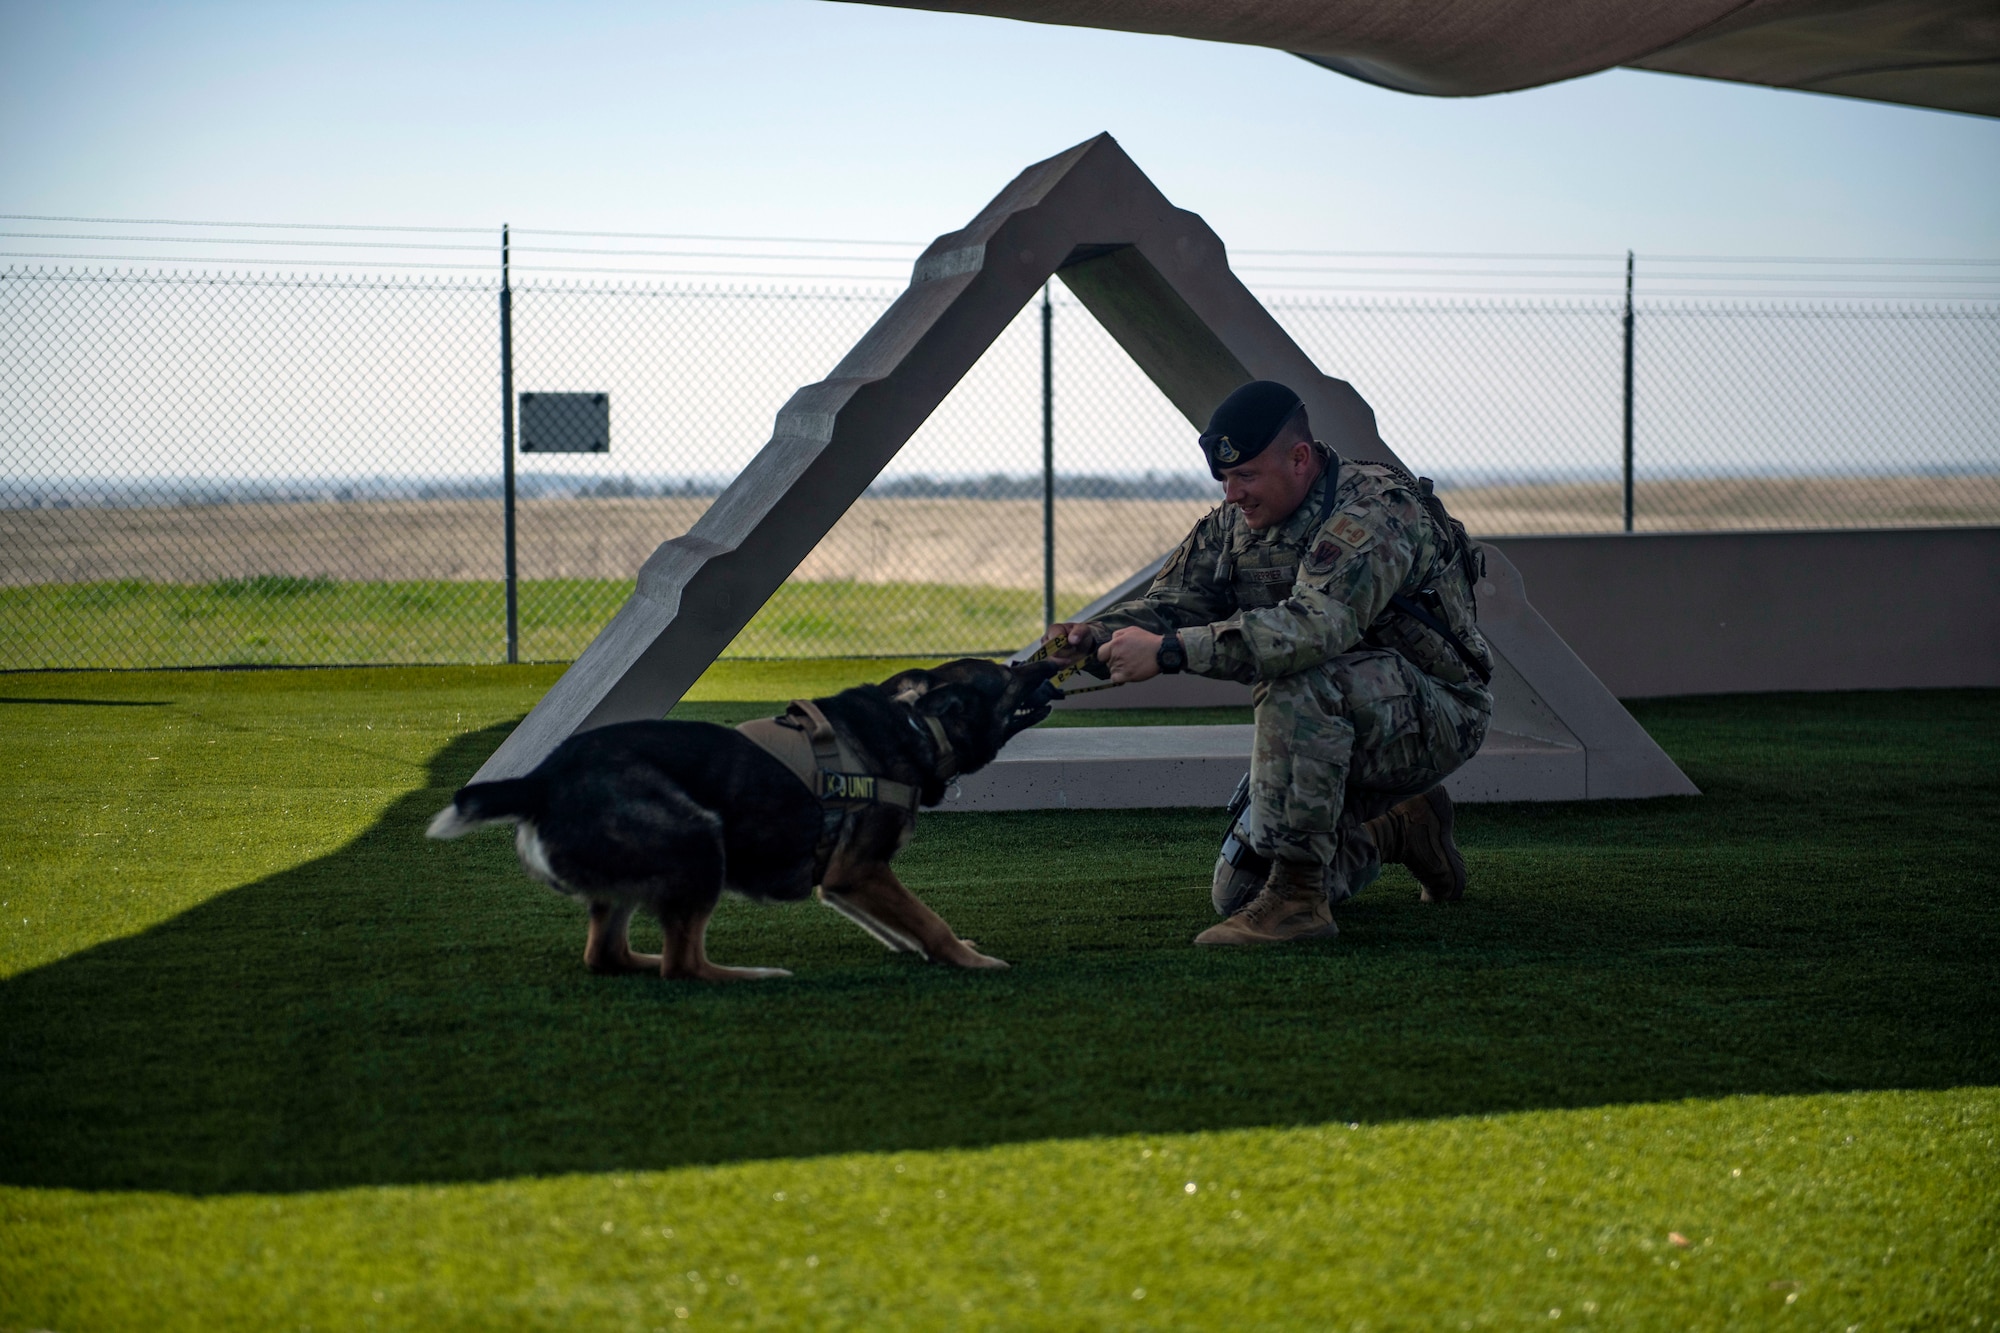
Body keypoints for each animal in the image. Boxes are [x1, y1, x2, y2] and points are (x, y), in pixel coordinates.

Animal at [432, 656, 1072, 976]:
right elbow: (929, 922)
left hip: (638, 876)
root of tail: (542, 780)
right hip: (698, 840)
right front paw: (972, 960)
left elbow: (906, 927)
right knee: (684, 965)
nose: (1049, 665)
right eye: (1009, 672)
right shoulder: (860, 871)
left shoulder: (848, 880)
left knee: (609, 956)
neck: (920, 727)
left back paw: (643, 961)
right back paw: (749, 975)